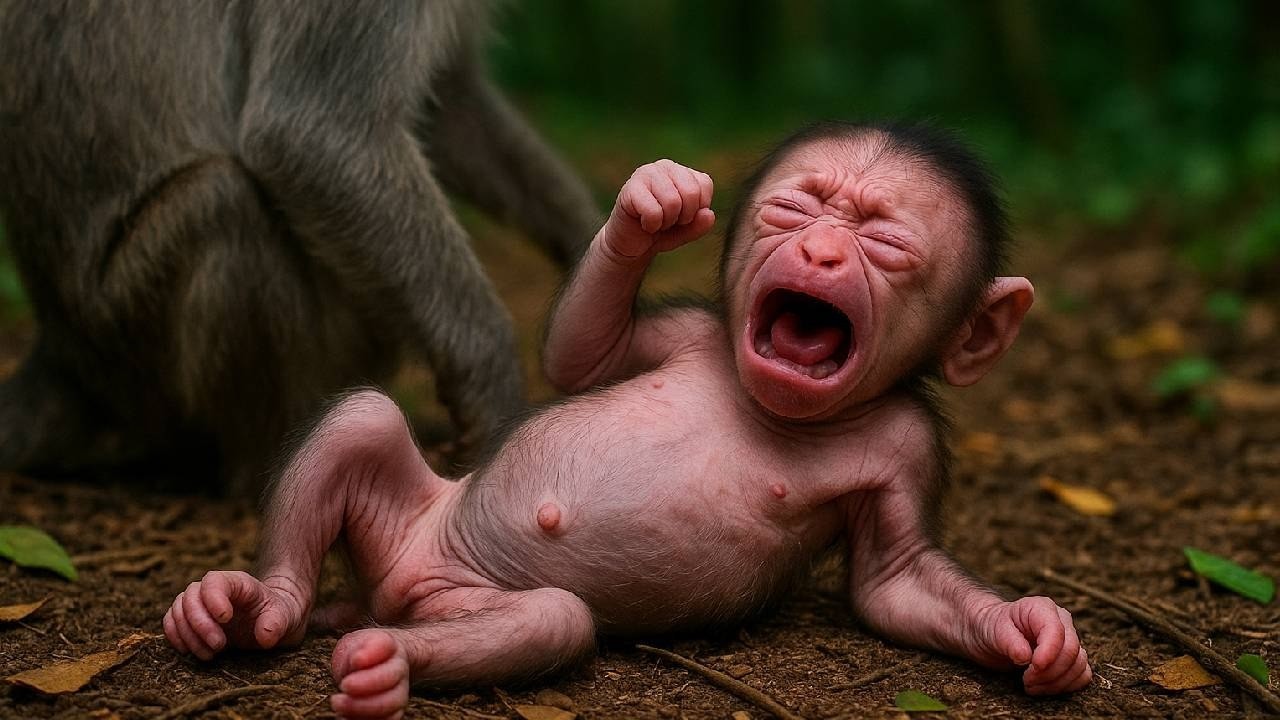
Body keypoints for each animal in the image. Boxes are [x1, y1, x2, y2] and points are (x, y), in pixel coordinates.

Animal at [0, 0, 599, 489]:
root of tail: (65, 354)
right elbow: (314, 136)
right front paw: (492, 394)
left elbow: (448, 103)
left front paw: (589, 254)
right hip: (134, 335)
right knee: (225, 202)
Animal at [162, 122, 1092, 719]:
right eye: (795, 209)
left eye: (886, 243)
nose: (823, 253)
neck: (777, 406)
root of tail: (391, 584)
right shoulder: (690, 331)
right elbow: (583, 355)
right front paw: (655, 205)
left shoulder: (909, 450)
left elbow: (895, 578)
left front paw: (1029, 633)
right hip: (399, 511)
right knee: (360, 418)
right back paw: (246, 604)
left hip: (472, 602)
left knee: (548, 620)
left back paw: (379, 663)